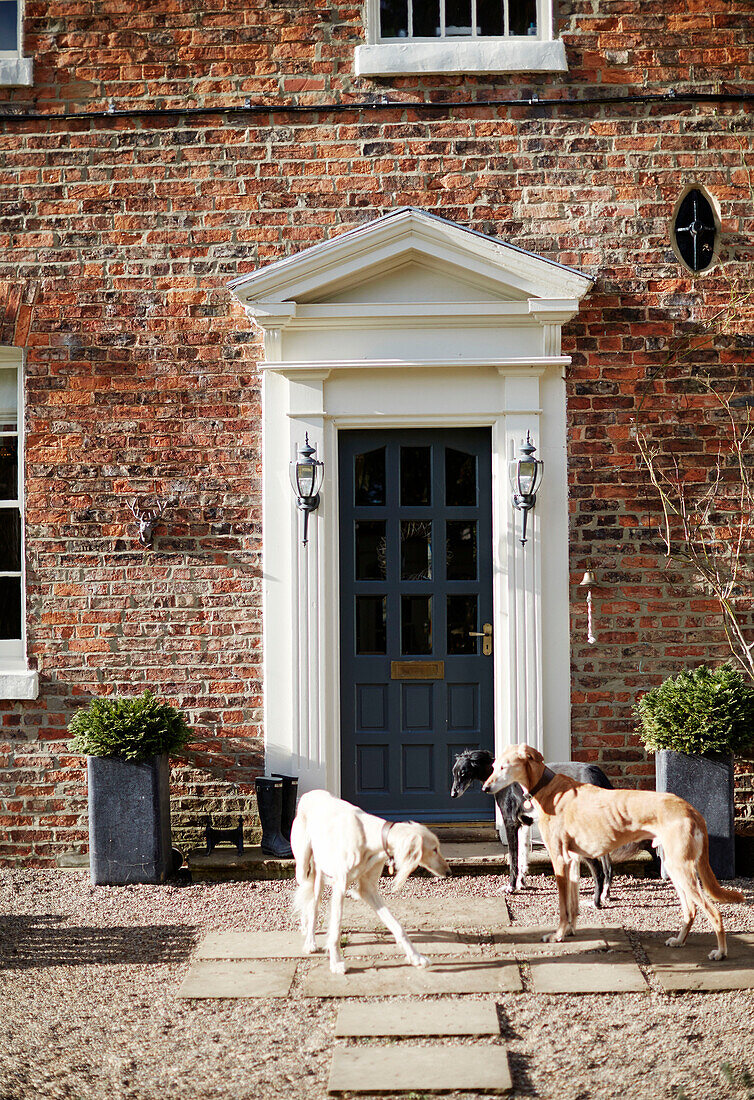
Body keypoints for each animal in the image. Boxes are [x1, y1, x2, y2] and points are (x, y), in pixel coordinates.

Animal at [290, 792, 449, 972]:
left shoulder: (368, 889)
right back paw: (309, 940)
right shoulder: (340, 887)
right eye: (434, 849)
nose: (448, 872)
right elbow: (336, 929)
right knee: (310, 903)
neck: (370, 838)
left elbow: (397, 926)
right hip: (303, 867)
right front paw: (336, 963)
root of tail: (309, 794)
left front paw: (416, 958)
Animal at [449, 752, 616, 906]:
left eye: (463, 773)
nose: (452, 794)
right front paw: (521, 883)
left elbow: (513, 859)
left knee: (598, 868)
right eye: (453, 772)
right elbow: (523, 858)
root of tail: (597, 773)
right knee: (607, 864)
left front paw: (511, 887)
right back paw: (605, 894)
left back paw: (595, 901)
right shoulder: (524, 824)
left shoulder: (510, 823)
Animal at [482, 743, 739, 959]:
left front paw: (558, 935)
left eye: (504, 766)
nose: (485, 787)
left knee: (713, 911)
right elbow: (572, 904)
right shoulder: (573, 861)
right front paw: (571, 931)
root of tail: (691, 809)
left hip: (682, 868)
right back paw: (679, 940)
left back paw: (721, 952)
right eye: (493, 767)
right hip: (675, 868)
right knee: (691, 910)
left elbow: (563, 907)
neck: (549, 789)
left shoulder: (559, 859)